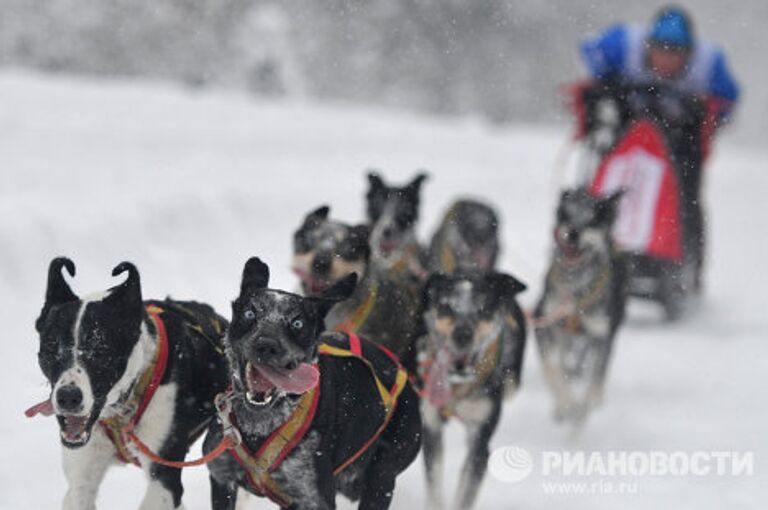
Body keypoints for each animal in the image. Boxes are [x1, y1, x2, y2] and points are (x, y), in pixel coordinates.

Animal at [204, 258, 420, 510]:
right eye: (250, 313)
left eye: (297, 323)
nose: (266, 345)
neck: (260, 425)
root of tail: (403, 374)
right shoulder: (222, 479)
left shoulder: (314, 498)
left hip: (381, 477)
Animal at [416, 270, 524, 510]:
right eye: (447, 306)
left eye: (483, 309)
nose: (462, 334)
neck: (457, 388)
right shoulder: (432, 427)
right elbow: (434, 486)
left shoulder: (480, 442)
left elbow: (465, 492)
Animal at [532, 187, 628, 426]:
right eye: (566, 214)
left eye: (592, 220)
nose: (573, 232)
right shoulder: (544, 323)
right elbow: (553, 369)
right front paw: (565, 404)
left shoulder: (601, 335)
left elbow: (595, 379)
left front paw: (585, 407)